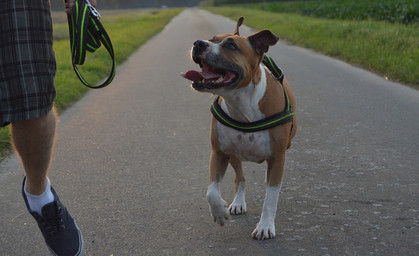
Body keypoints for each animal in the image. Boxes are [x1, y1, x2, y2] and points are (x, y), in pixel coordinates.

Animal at [184, 18, 298, 240]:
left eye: (231, 45)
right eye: (211, 39)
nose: (199, 43)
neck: (241, 104)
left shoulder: (277, 158)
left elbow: (271, 197)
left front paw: (265, 226)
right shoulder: (219, 152)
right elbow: (211, 191)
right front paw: (219, 211)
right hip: (234, 155)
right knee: (240, 177)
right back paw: (238, 203)